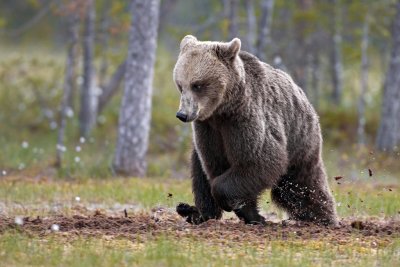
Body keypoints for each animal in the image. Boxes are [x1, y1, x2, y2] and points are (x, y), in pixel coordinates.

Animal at [174, 35, 338, 227]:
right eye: (180, 85)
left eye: (197, 85)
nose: (183, 114)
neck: (223, 110)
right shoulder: (208, 129)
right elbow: (214, 165)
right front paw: (250, 213)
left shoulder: (245, 121)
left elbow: (259, 160)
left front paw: (247, 211)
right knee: (199, 174)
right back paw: (192, 211)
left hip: (300, 140)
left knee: (300, 185)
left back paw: (322, 219)